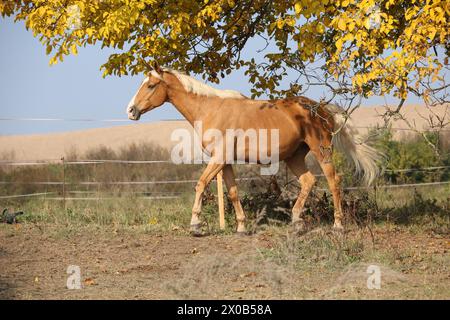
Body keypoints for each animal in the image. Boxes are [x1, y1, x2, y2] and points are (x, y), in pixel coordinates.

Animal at [126, 65, 384, 235]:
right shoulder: (225, 161)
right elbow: (232, 192)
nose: (131, 110)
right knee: (309, 181)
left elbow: (200, 184)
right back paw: (296, 222)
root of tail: (321, 108)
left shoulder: (218, 159)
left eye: (151, 85)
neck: (210, 108)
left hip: (322, 151)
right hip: (294, 156)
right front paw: (241, 227)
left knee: (333, 181)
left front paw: (195, 226)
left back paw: (338, 225)